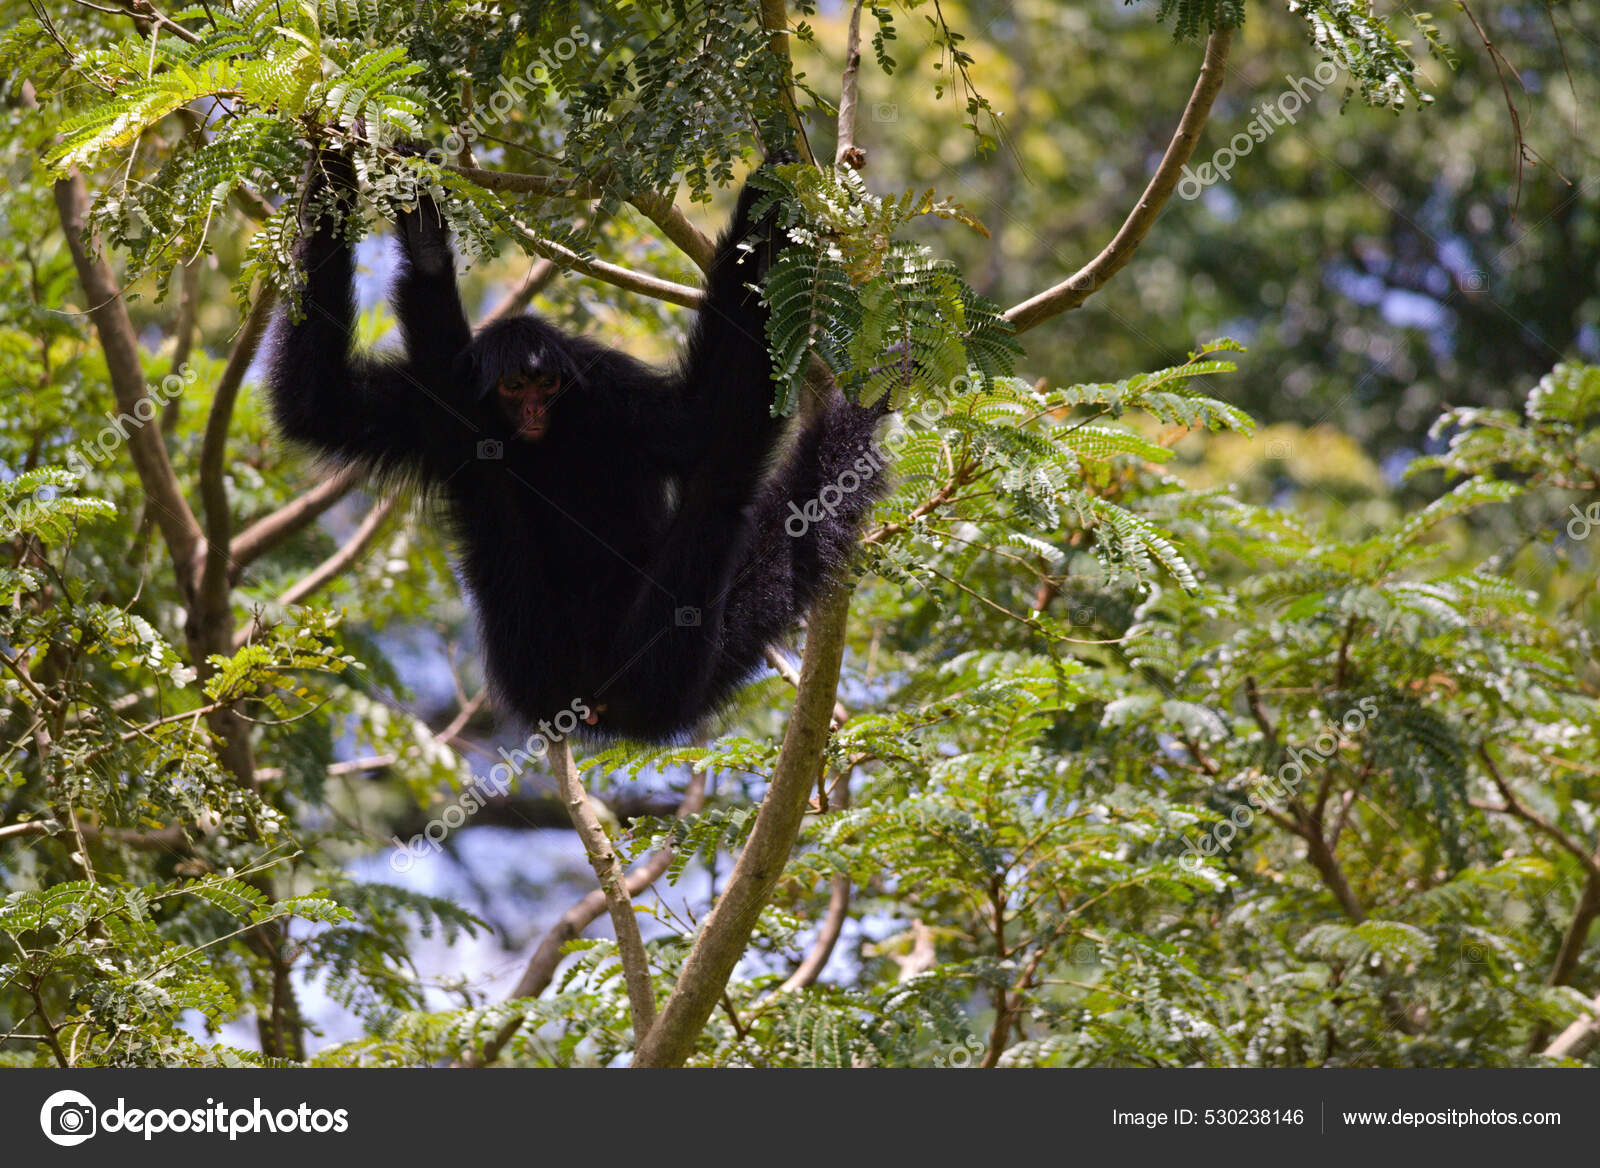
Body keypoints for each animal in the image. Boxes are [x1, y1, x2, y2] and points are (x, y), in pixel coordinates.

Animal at [265, 150, 889, 742]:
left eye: (546, 384)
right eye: (515, 387)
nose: (533, 411)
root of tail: (598, 705)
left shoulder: (612, 392)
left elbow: (703, 419)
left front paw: (766, 195)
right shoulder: (417, 410)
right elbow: (318, 403)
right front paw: (411, 230)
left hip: (659, 657)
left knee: (721, 480)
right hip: (532, 656)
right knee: (484, 476)